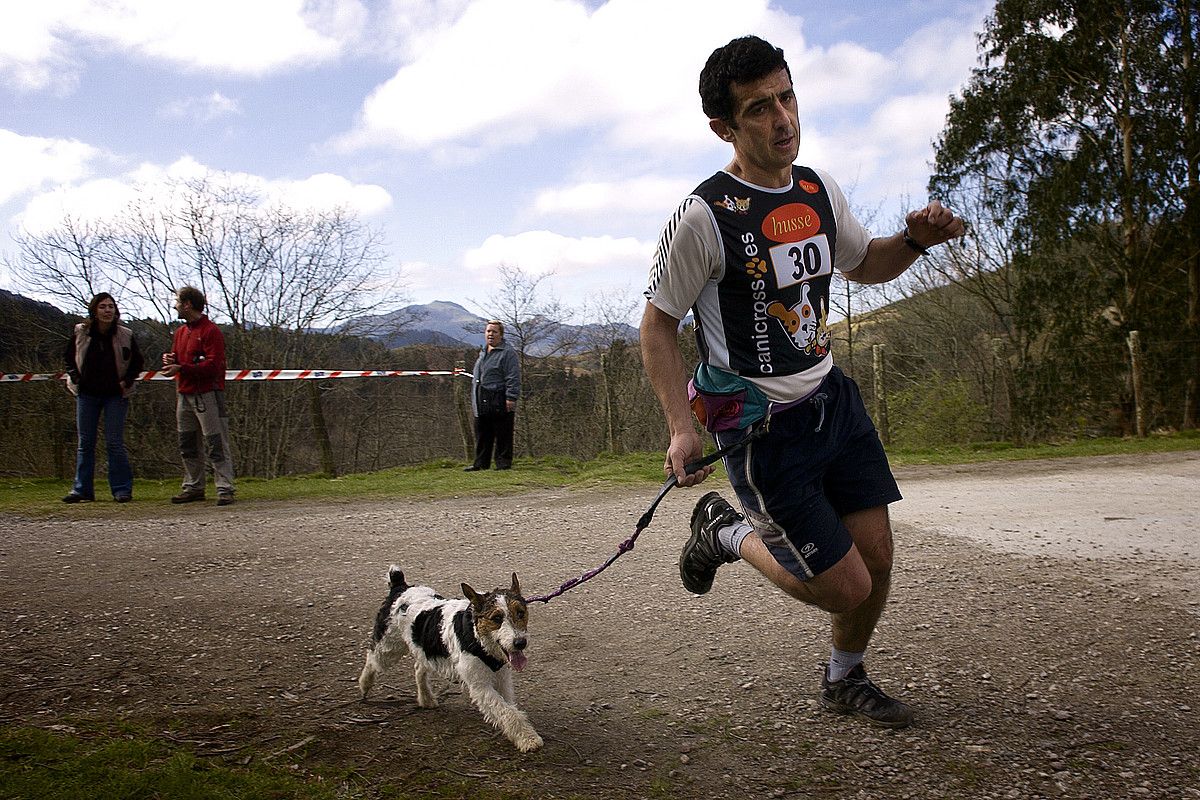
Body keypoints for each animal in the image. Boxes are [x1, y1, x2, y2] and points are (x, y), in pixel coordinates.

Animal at [355, 566, 544, 753]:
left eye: (521, 613)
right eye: (496, 618)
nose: (520, 643)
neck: (477, 638)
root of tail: (400, 586)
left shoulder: (501, 680)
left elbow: (509, 707)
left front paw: (522, 735)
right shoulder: (480, 686)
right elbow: (508, 712)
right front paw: (528, 739)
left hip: (424, 649)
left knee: (418, 668)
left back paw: (426, 698)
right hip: (389, 647)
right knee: (372, 658)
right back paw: (365, 684)